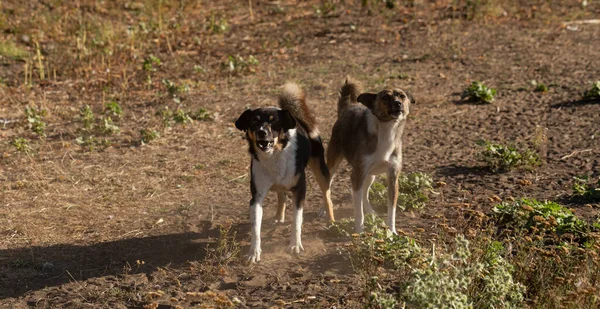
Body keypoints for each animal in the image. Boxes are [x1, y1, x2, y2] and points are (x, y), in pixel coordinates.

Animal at [234, 82, 336, 262]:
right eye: (254, 122)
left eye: (274, 122)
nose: (262, 132)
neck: (274, 155)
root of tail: (297, 120)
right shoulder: (256, 197)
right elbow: (255, 228)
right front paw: (254, 252)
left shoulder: (300, 190)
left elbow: (296, 220)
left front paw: (294, 245)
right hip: (278, 184)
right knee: (281, 194)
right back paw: (278, 217)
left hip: (320, 171)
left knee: (327, 196)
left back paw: (331, 221)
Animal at [326, 78, 414, 232]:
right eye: (385, 97)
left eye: (402, 96)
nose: (398, 103)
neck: (387, 131)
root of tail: (347, 108)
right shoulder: (357, 175)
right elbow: (358, 212)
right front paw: (359, 231)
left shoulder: (393, 177)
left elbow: (391, 210)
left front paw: (392, 231)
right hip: (334, 167)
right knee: (327, 188)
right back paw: (324, 210)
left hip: (370, 175)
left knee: (365, 195)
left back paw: (370, 211)